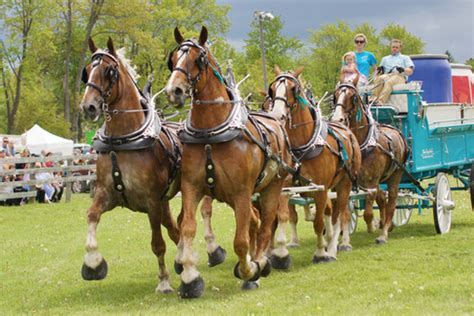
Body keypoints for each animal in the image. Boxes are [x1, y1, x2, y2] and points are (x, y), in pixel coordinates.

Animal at [78, 37, 188, 294]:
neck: (123, 141)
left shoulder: (151, 202)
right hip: (164, 201)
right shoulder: (106, 194)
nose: (88, 107)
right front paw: (93, 264)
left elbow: (157, 244)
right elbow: (91, 216)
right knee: (174, 230)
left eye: (109, 71)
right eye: (87, 72)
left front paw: (163, 281)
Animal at [165, 27, 294, 298]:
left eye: (199, 59)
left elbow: (241, 241)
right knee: (255, 222)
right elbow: (187, 228)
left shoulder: (242, 192)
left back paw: (261, 262)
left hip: (272, 187)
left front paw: (249, 269)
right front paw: (190, 278)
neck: (210, 133)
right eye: (173, 60)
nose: (175, 91)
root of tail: (275, 119)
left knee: (266, 224)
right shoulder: (192, 187)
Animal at [268, 67, 362, 266]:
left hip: (344, 184)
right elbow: (283, 217)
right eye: (272, 89)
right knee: (330, 210)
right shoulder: (285, 187)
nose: (277, 115)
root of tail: (347, 130)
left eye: (293, 88)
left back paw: (334, 247)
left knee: (339, 214)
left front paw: (320, 253)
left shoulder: (320, 189)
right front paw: (280, 253)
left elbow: (319, 222)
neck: (303, 146)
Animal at [332, 75, 410, 243]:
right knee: (382, 198)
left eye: (353, 97)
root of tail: (398, 132)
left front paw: (372, 226)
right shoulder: (349, 181)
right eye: (335, 96)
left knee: (391, 202)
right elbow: (345, 209)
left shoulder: (371, 181)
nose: (338, 119)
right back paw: (385, 224)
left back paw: (384, 232)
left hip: (395, 175)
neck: (362, 145)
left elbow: (368, 212)